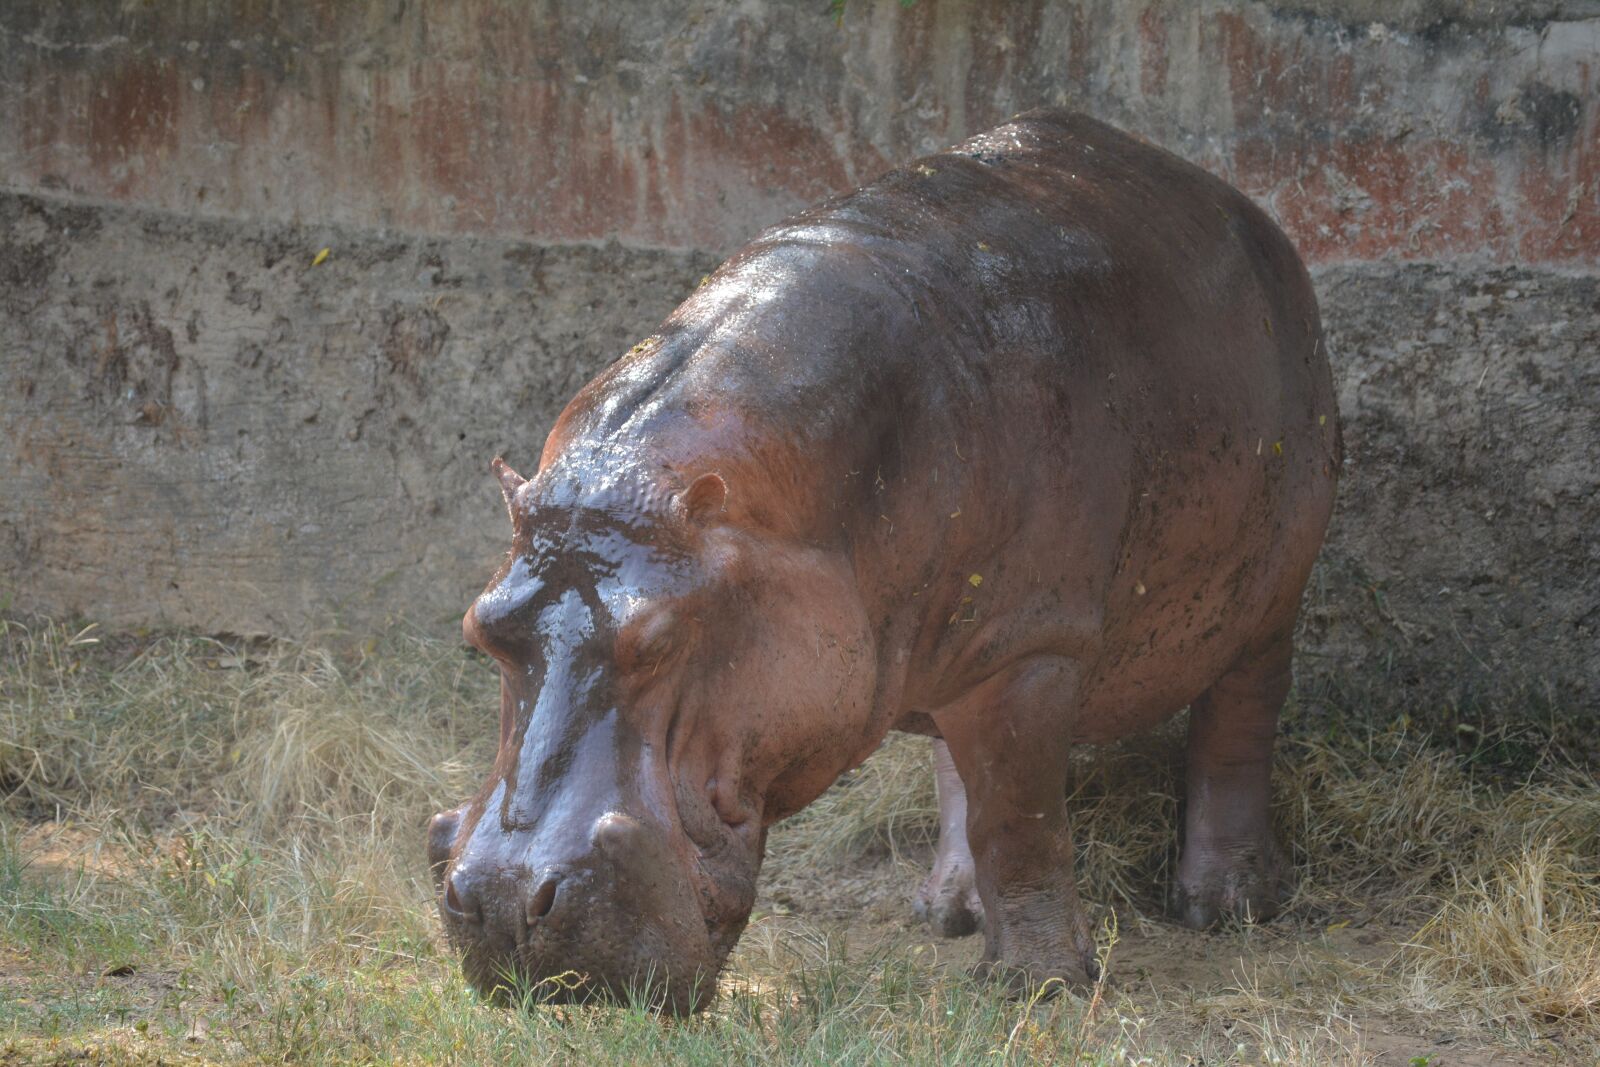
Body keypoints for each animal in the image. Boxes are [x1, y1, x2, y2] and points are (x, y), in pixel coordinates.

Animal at [427, 108, 1340, 1012]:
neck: (784, 501)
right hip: (954, 638)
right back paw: (947, 911)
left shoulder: (1029, 648)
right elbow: (988, 800)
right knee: (955, 769)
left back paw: (1225, 906)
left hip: (1272, 589)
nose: (506, 902)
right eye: (480, 628)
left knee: (1238, 720)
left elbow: (1021, 820)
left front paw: (1038, 986)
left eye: (660, 638)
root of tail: (1242, 207)